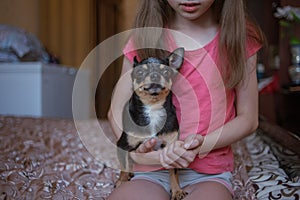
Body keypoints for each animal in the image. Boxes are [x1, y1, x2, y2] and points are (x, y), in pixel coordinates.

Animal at [116, 47, 186, 199]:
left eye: (166, 72)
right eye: (140, 72)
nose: (154, 76)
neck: (153, 107)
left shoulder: (171, 149)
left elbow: (174, 172)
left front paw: (177, 190)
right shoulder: (122, 145)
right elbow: (123, 166)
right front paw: (122, 182)